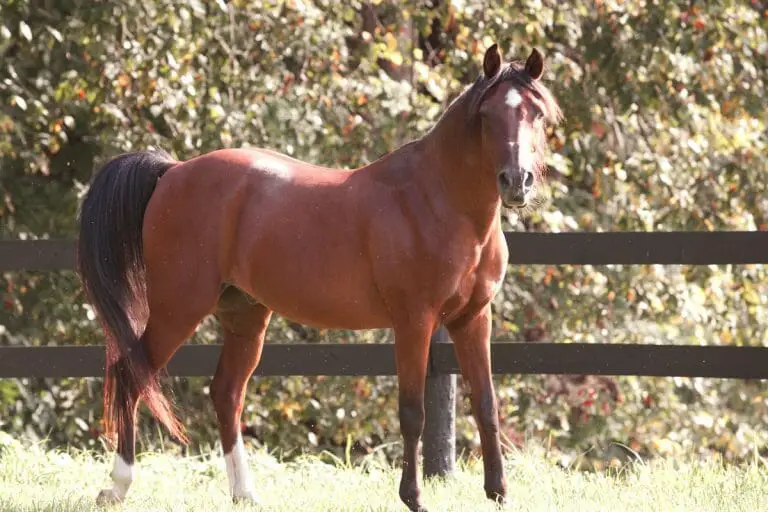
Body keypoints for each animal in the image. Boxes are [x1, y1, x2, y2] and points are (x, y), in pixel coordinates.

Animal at [76, 43, 561, 511]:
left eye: (536, 113)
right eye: (487, 115)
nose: (516, 181)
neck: (438, 199)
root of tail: (173, 171)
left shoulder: (472, 319)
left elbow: (486, 405)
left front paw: (499, 493)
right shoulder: (415, 322)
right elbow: (412, 411)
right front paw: (414, 497)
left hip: (245, 316)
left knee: (226, 393)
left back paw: (244, 493)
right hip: (179, 308)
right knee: (131, 374)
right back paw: (117, 487)